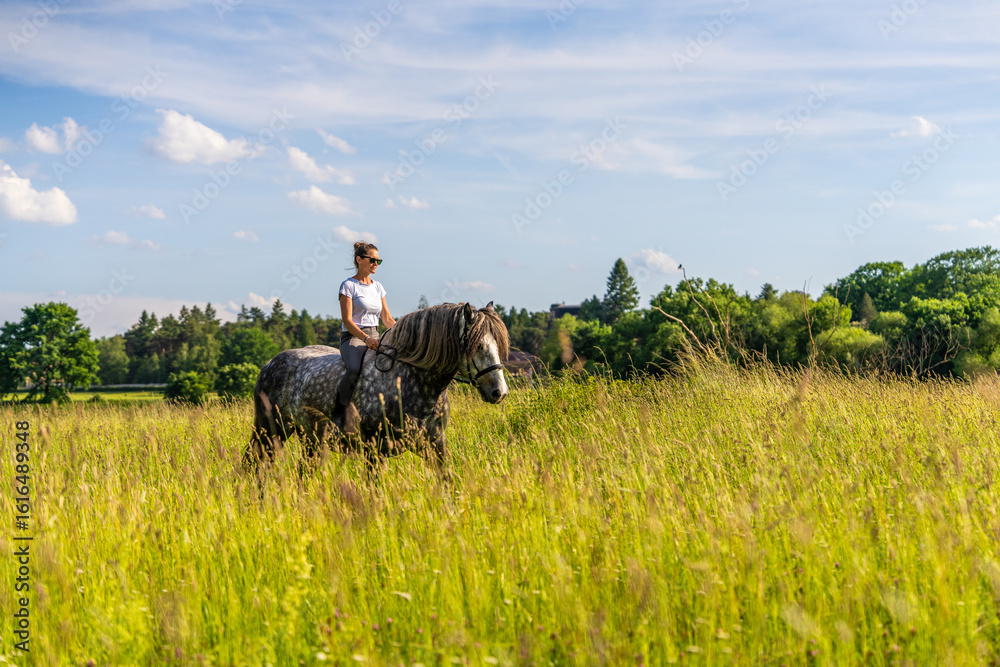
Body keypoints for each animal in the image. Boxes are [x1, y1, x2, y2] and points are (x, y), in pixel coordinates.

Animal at [245, 302, 510, 480]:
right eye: (478, 345)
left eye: (498, 344)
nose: (499, 392)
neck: (411, 381)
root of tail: (269, 364)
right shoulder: (375, 450)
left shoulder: (435, 444)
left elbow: (447, 481)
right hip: (271, 430)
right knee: (254, 464)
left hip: (310, 440)